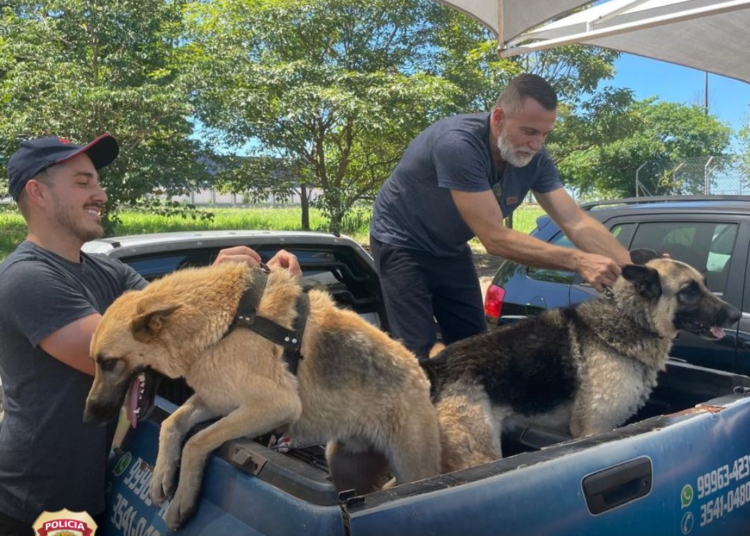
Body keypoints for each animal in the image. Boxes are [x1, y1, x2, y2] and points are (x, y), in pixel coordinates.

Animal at [85, 262, 444, 528]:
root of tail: (419, 374)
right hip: (342, 462)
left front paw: (183, 499)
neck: (226, 321)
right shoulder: (218, 399)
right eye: (96, 362)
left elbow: (197, 441)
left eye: (108, 363)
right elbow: (172, 423)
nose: (89, 416)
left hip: (414, 469)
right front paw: (161, 475)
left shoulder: (272, 405)